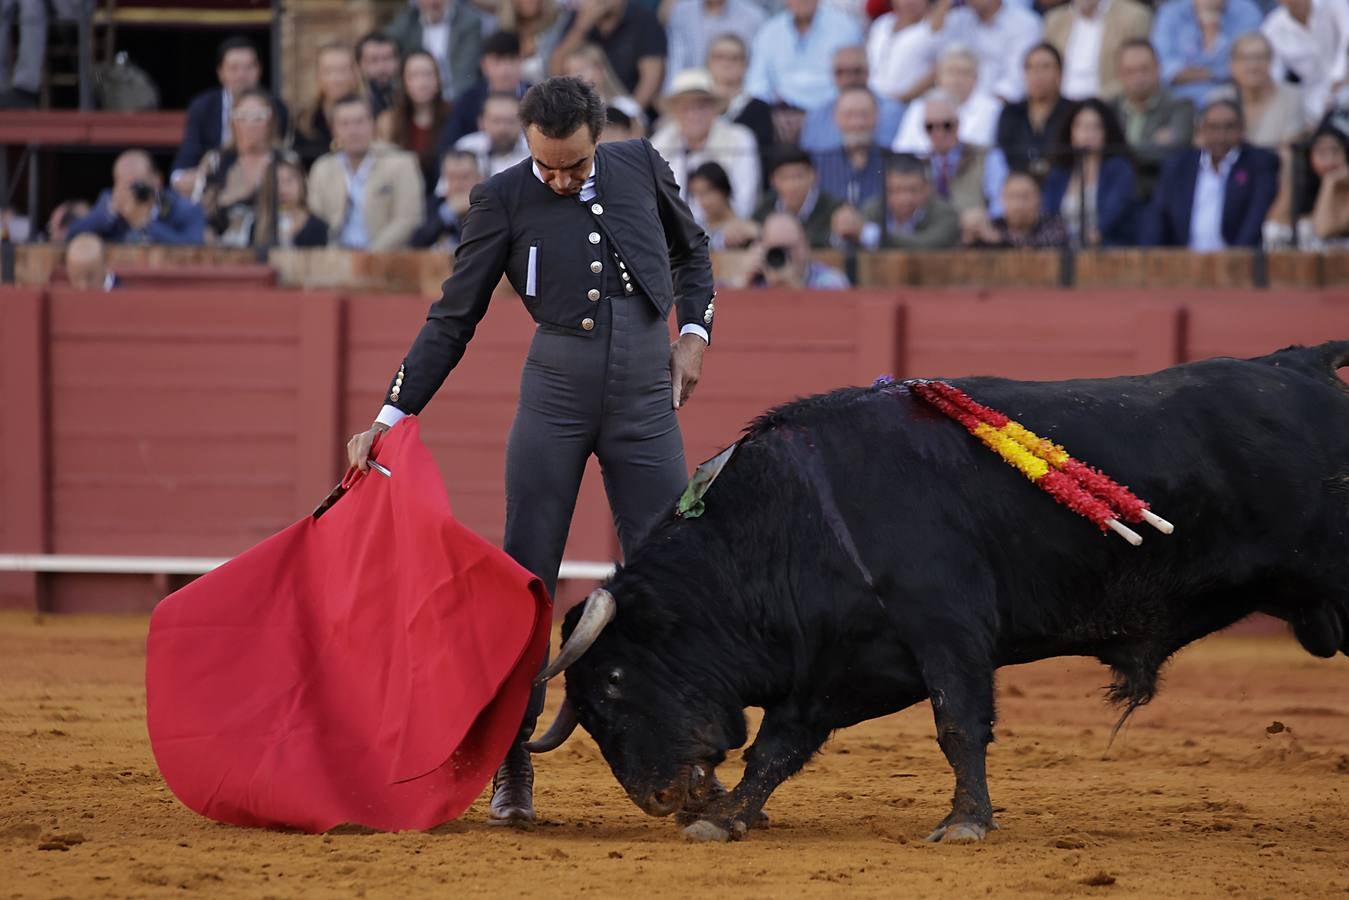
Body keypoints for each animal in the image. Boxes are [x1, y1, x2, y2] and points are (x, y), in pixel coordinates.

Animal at [523, 342, 1349, 847]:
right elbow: (776, 747)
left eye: (617, 683)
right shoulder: (839, 662)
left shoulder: (946, 631)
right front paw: (723, 819)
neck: (795, 518)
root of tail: (1300, 364)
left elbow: (957, 725)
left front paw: (964, 824)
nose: (657, 799)